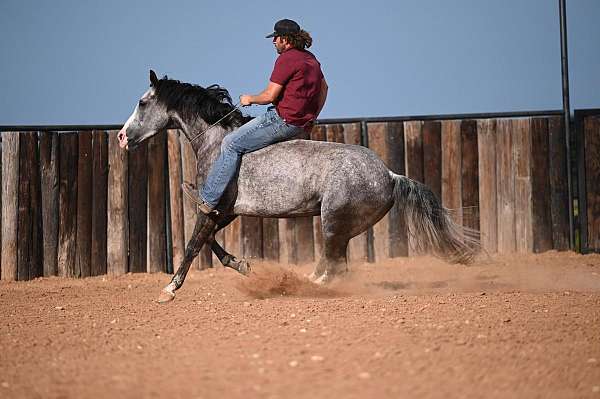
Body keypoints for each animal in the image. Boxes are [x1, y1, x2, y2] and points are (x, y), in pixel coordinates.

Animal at [119, 71, 480, 304]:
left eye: (142, 102)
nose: (122, 137)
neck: (217, 143)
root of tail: (391, 175)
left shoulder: (214, 207)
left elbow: (195, 243)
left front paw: (169, 290)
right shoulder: (225, 212)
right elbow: (208, 243)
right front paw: (243, 265)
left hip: (333, 222)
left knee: (333, 266)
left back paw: (303, 284)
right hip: (342, 229)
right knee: (336, 264)